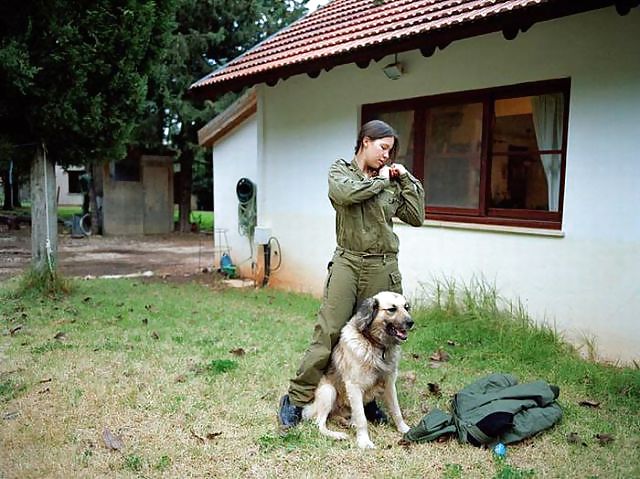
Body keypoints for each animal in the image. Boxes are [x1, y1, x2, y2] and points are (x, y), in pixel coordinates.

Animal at [302, 290, 412, 452]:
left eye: (406, 307)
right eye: (392, 309)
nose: (411, 323)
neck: (375, 346)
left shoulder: (389, 384)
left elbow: (396, 410)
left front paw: (404, 429)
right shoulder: (354, 386)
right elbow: (362, 419)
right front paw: (364, 442)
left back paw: (346, 422)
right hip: (329, 391)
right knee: (319, 423)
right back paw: (337, 434)